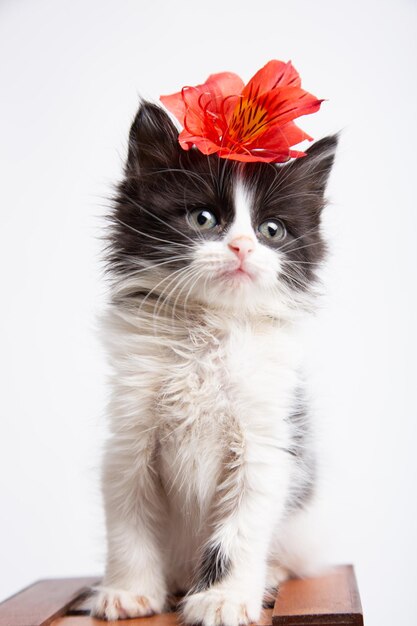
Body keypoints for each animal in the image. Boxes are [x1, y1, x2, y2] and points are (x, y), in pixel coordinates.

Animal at [92, 101, 338, 620]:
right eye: (203, 219)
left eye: (271, 230)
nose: (242, 246)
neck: (207, 333)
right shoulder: (128, 440)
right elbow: (128, 521)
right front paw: (129, 591)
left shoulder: (265, 445)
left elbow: (239, 533)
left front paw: (224, 598)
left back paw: (270, 575)